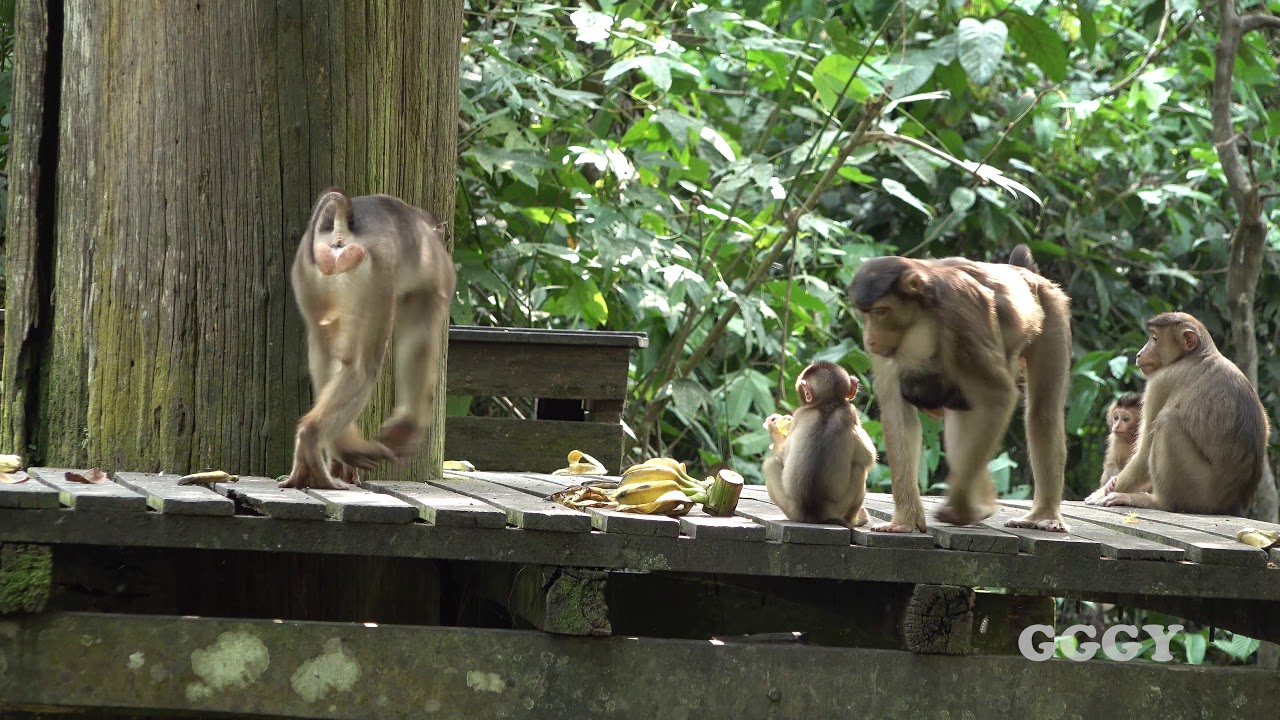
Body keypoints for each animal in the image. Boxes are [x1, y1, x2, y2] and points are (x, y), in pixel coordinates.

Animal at [280, 189, 457, 490]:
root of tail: (343, 228)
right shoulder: (436, 281)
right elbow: (419, 345)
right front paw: (405, 429)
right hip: (374, 277)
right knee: (363, 369)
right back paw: (316, 438)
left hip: (310, 269)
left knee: (325, 356)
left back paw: (334, 449)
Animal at [762, 361, 878, 527]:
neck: (827, 404)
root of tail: (814, 513)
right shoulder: (850, 411)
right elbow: (869, 457)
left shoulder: (801, 414)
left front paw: (775, 428)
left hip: (792, 508)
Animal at [848, 244, 1072, 533]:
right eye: (863, 313)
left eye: (881, 311)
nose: (870, 339)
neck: (921, 316)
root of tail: (1026, 273)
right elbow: (897, 411)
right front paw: (905, 520)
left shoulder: (960, 315)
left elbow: (998, 397)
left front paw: (961, 506)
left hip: (1052, 311)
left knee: (1043, 413)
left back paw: (1042, 514)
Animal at [1086, 312, 1267, 516]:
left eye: (1154, 339)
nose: (1140, 353)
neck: (1198, 354)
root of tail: (1234, 502)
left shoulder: (1160, 382)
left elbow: (1144, 452)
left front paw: (1102, 492)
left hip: (1201, 492)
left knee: (1166, 422)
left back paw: (1158, 502)